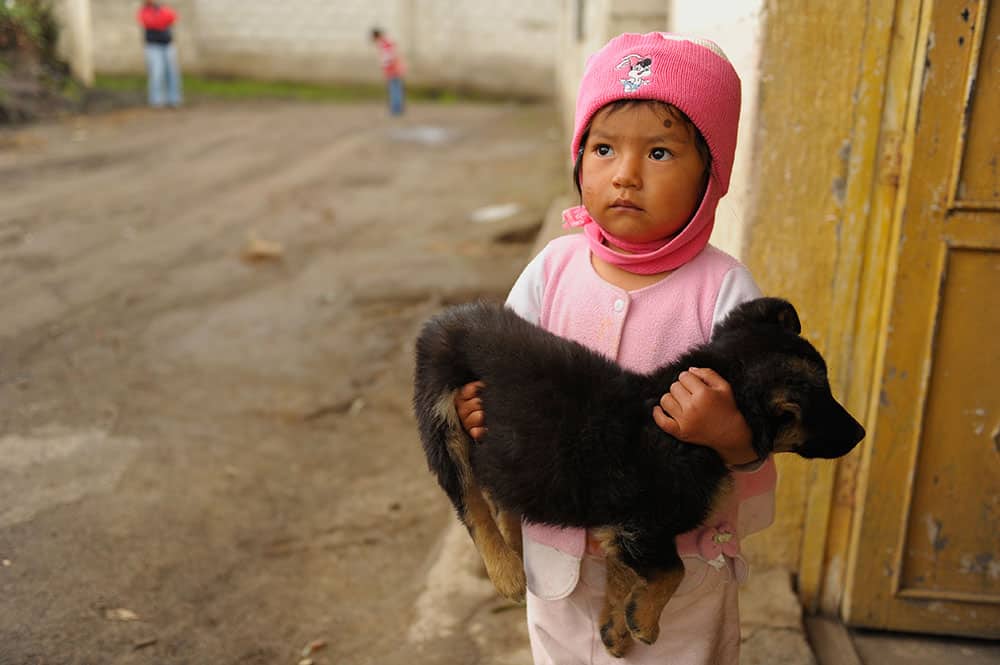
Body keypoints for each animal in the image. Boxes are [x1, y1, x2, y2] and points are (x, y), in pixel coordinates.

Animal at [410, 298, 864, 656]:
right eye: (819, 403)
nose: (861, 433)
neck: (679, 431)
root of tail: (446, 319)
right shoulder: (643, 526)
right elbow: (673, 571)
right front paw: (644, 623)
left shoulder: (622, 529)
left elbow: (623, 575)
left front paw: (615, 627)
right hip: (442, 416)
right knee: (468, 500)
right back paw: (505, 568)